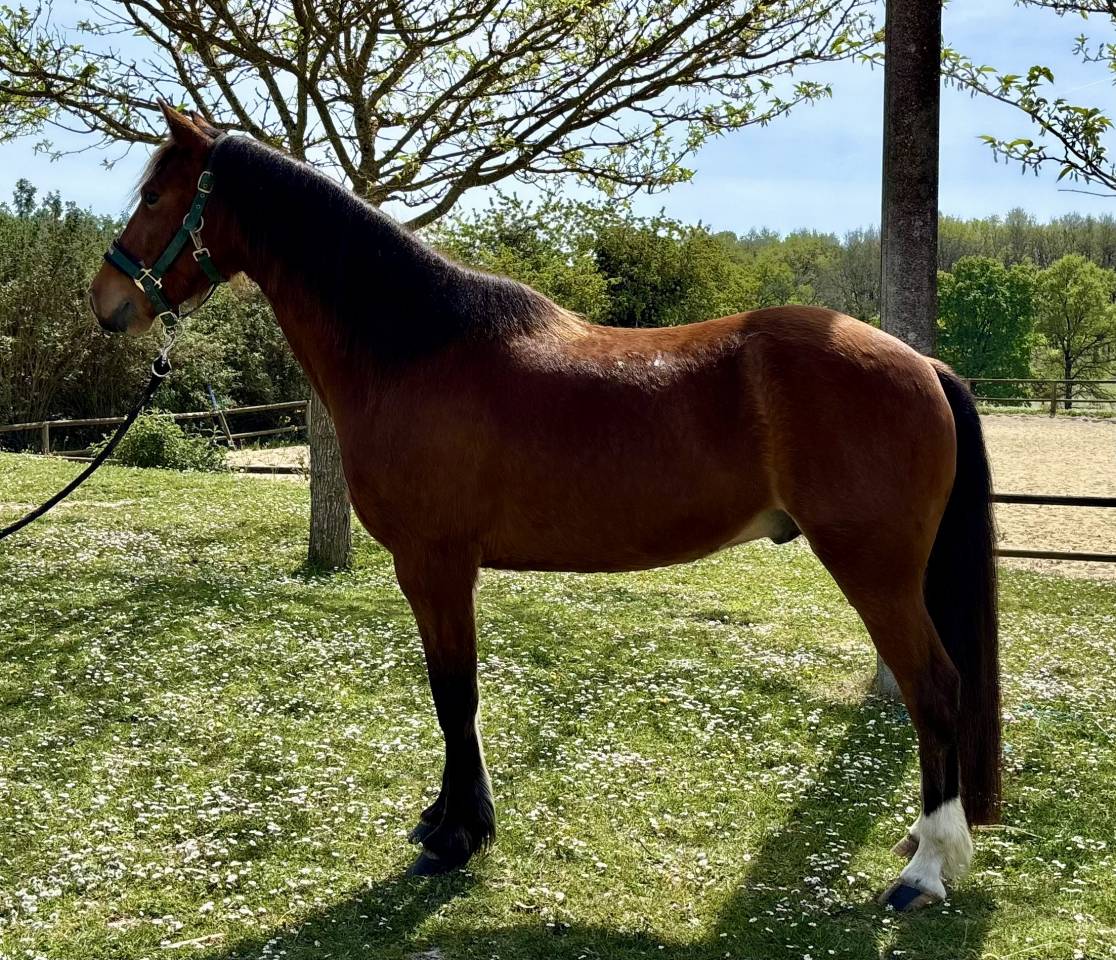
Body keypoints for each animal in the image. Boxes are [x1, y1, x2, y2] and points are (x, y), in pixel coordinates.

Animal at [88, 103, 1001, 911]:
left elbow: (453, 692)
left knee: (934, 690)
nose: (107, 303)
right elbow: (456, 695)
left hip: (875, 572)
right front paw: (450, 820)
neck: (415, 347)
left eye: (156, 196)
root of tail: (922, 366)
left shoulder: (435, 565)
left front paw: (457, 837)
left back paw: (924, 871)